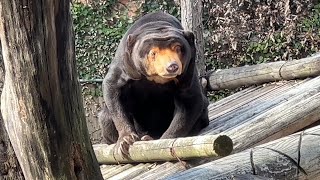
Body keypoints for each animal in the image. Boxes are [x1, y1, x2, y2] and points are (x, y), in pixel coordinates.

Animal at [100, 11, 210, 157]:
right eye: (153, 53)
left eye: (178, 48)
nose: (172, 67)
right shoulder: (126, 64)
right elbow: (112, 87)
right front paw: (125, 142)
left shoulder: (188, 71)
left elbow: (189, 101)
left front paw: (162, 142)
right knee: (105, 117)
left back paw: (149, 137)